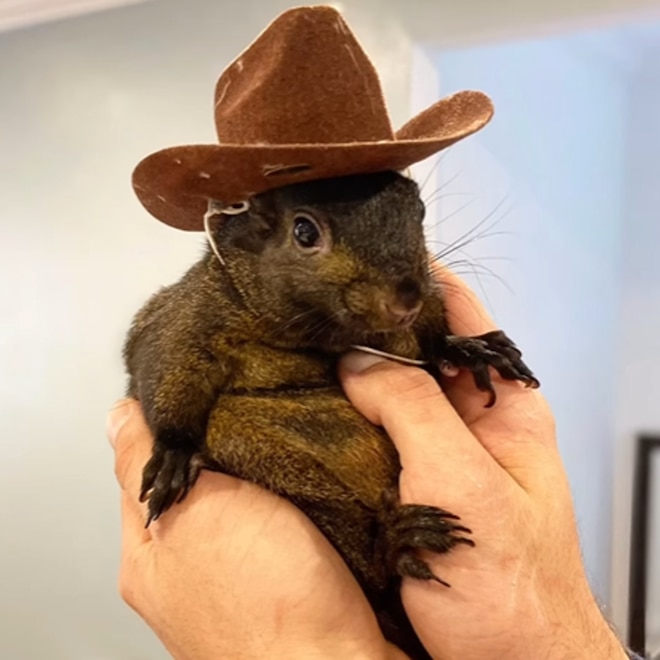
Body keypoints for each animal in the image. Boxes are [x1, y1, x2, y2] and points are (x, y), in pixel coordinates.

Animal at [123, 169, 539, 659]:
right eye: (304, 232)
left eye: (418, 211)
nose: (405, 299)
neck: (322, 335)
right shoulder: (186, 318)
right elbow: (165, 366)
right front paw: (174, 452)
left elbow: (432, 339)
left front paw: (469, 349)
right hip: (272, 463)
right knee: (372, 570)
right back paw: (393, 544)